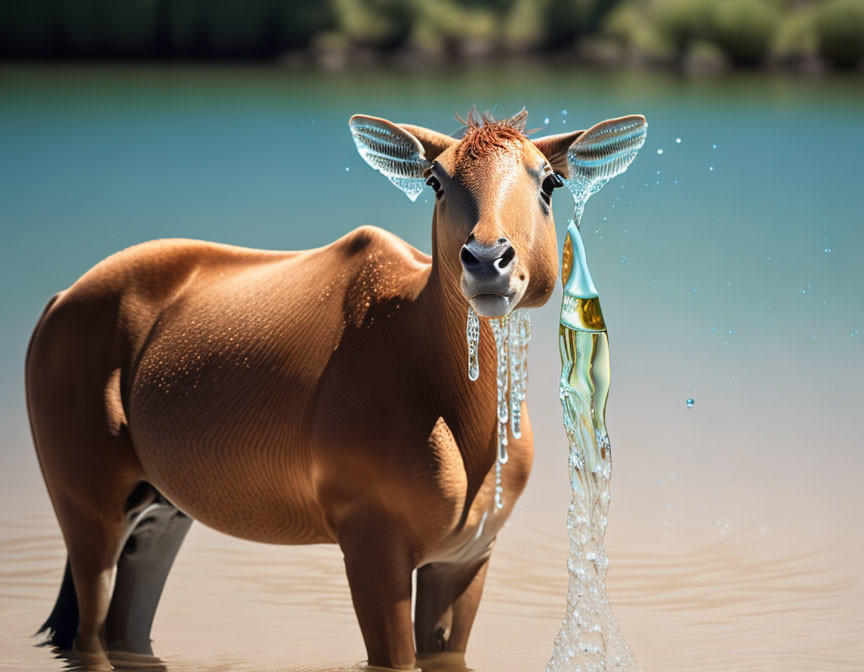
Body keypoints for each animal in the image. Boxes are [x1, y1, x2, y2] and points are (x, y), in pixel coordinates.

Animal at [28, 107, 640, 668]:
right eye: (435, 180)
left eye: (550, 180)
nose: (488, 260)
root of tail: (58, 302)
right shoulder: (373, 551)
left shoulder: (463, 559)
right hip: (89, 513)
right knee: (87, 632)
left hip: (156, 516)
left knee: (124, 628)